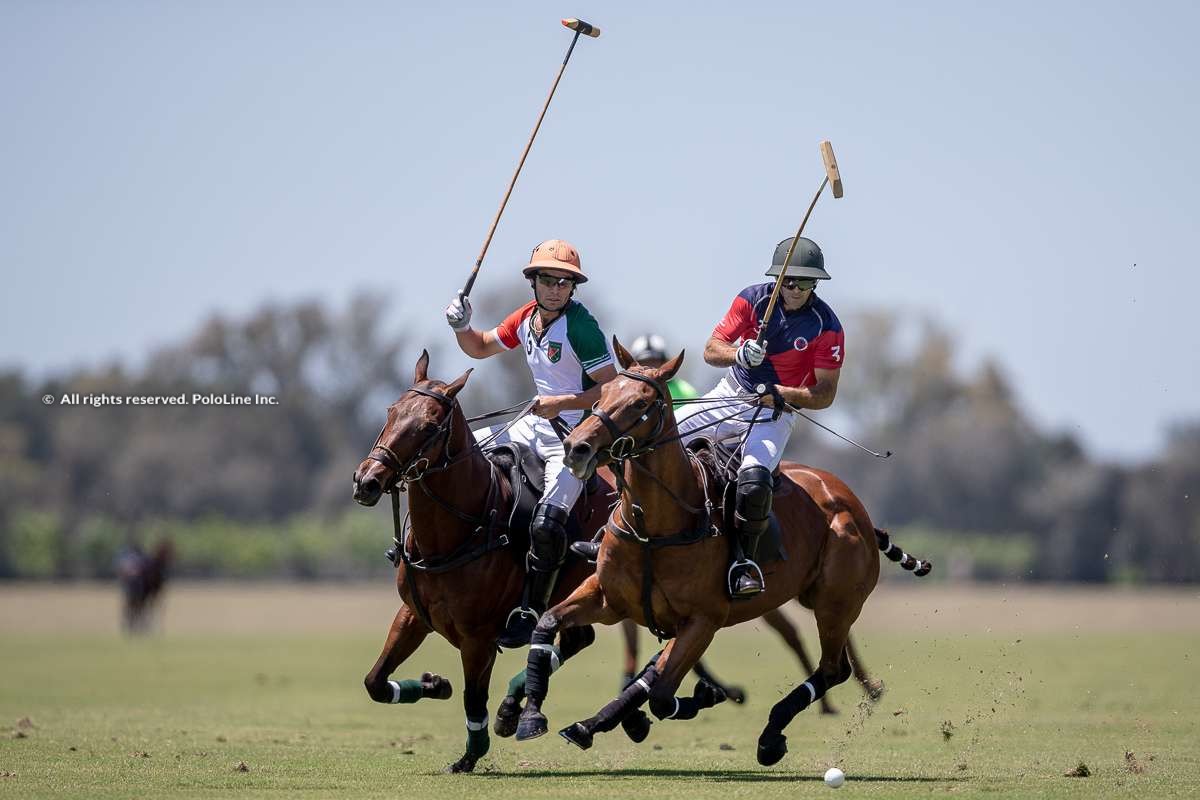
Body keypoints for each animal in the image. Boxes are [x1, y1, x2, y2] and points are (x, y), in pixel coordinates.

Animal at [350, 352, 619, 772]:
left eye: (428, 426)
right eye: (390, 411)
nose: (367, 481)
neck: (457, 531)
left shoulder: (478, 637)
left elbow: (473, 699)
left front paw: (469, 756)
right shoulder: (412, 614)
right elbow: (375, 681)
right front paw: (434, 684)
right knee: (578, 637)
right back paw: (510, 710)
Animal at [513, 340, 926, 767]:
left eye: (641, 402)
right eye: (603, 394)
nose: (576, 448)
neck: (656, 528)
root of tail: (853, 504)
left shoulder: (704, 619)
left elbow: (662, 696)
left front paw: (697, 698)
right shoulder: (609, 599)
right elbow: (548, 623)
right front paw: (532, 716)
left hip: (835, 601)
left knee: (831, 668)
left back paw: (772, 734)